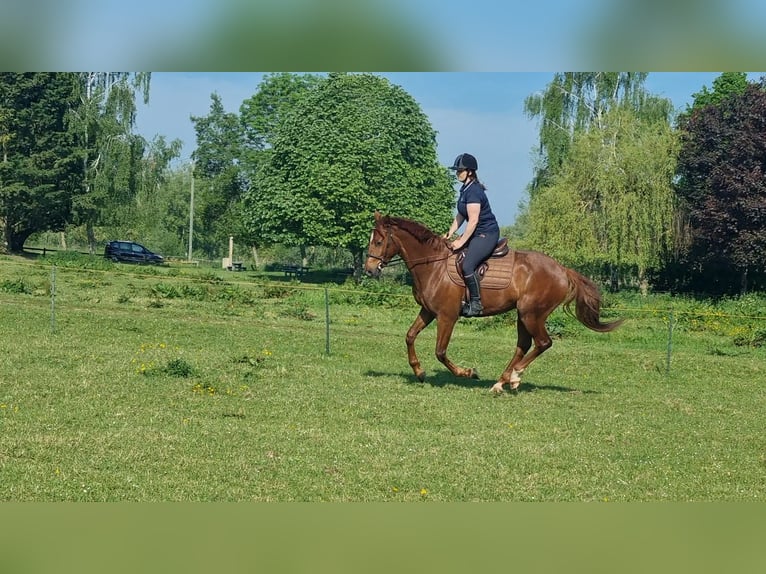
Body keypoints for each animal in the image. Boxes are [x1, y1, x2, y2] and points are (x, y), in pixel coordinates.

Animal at [366, 213, 624, 396]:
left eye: (378, 241)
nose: (369, 270)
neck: (433, 265)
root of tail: (562, 269)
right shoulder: (428, 311)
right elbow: (410, 336)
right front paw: (419, 371)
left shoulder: (447, 316)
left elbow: (440, 351)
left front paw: (468, 372)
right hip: (523, 314)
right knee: (523, 345)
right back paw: (501, 382)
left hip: (532, 314)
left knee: (543, 343)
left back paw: (515, 376)